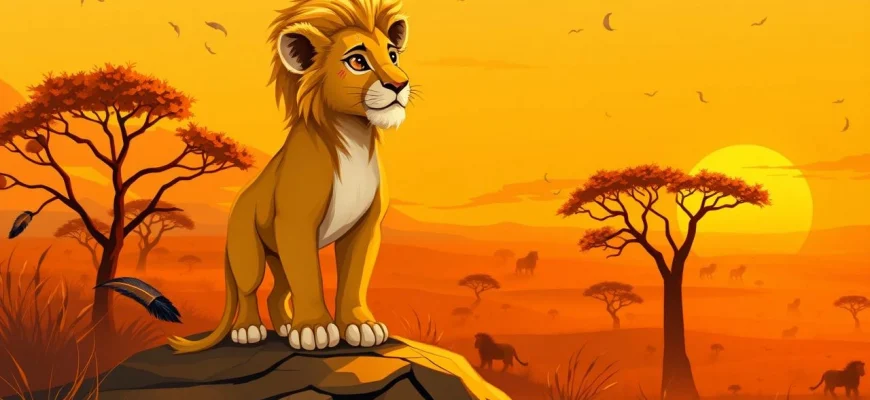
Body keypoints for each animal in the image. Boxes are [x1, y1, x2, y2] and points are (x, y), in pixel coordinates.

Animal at [167, 0, 413, 353]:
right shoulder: (296, 223)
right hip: (248, 250)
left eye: (393, 55)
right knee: (249, 290)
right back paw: (249, 330)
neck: (354, 134)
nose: (399, 84)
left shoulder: (366, 225)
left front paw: (360, 325)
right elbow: (308, 277)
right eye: (357, 61)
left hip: (277, 258)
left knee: (277, 292)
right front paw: (315, 329)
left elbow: (355, 277)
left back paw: (284, 326)